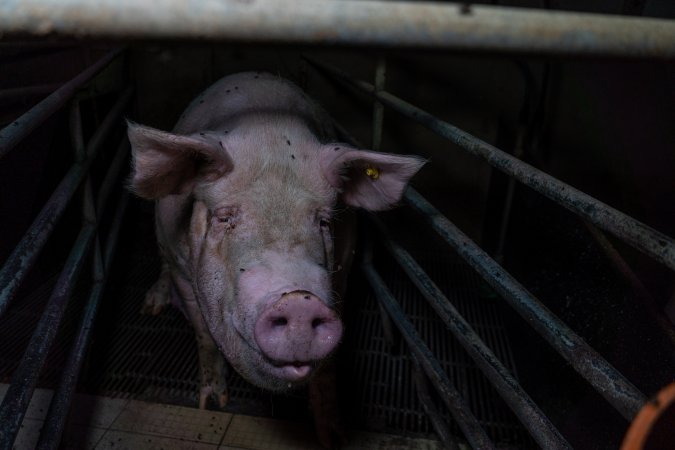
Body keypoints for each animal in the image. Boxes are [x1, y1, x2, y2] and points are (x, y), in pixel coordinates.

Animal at [127, 72, 422, 444]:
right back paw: (151, 306)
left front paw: (333, 436)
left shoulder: (343, 270)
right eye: (225, 217)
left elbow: (327, 368)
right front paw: (212, 404)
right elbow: (204, 335)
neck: (266, 133)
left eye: (323, 221)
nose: (298, 301)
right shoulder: (180, 263)